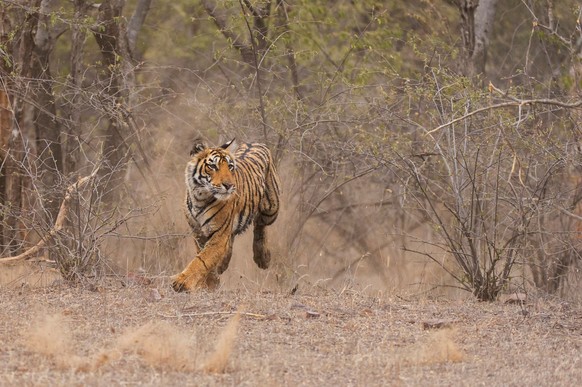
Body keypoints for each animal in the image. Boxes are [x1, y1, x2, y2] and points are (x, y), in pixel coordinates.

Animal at [172, 138, 282, 292]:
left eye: (230, 167)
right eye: (212, 166)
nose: (229, 185)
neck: (200, 197)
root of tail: (255, 143)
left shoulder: (218, 234)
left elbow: (202, 260)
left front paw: (182, 282)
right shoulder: (199, 233)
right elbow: (204, 257)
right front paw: (209, 283)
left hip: (271, 208)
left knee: (260, 225)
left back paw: (262, 258)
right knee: (233, 236)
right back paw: (223, 264)